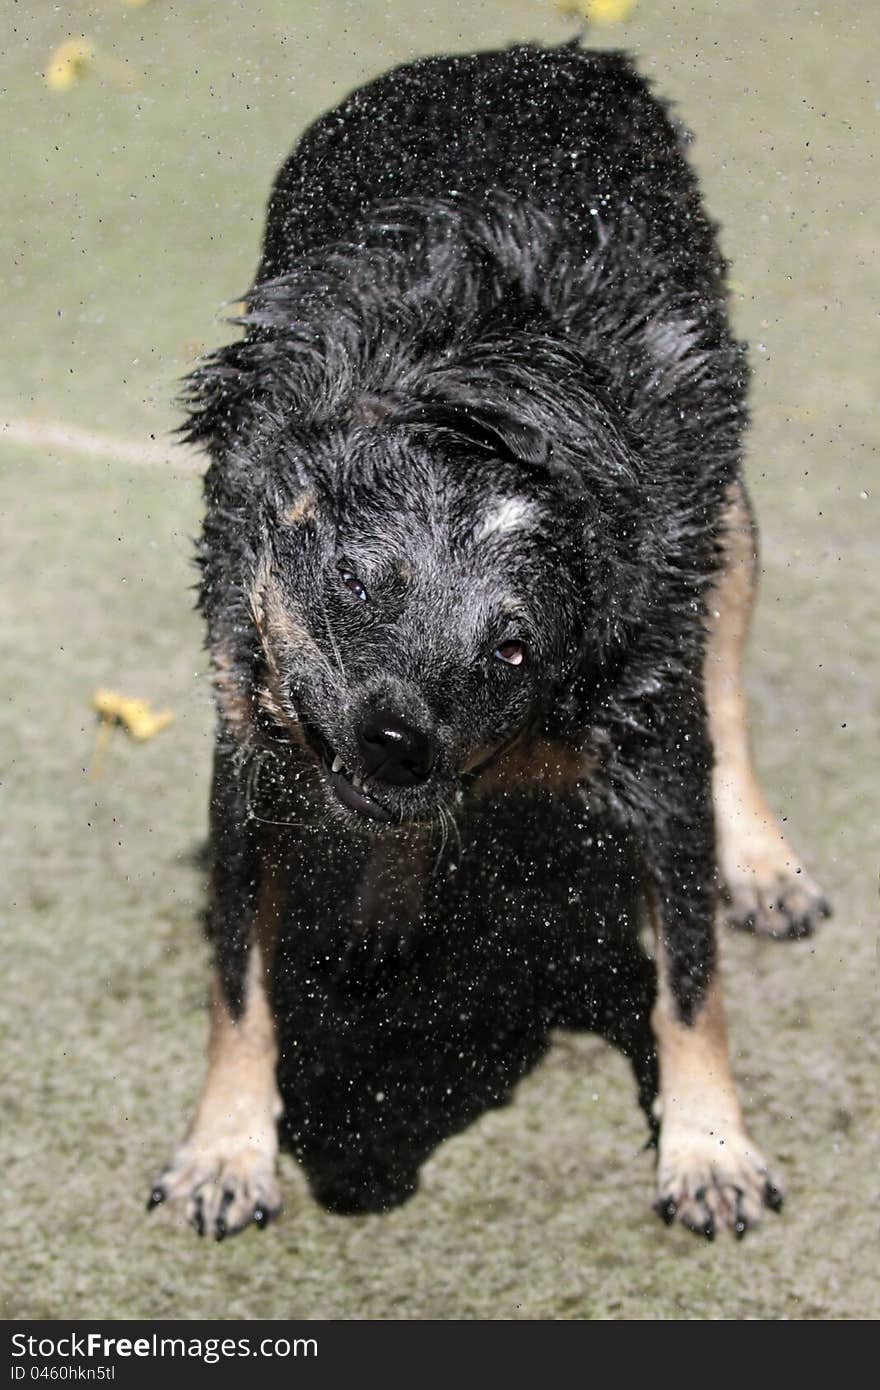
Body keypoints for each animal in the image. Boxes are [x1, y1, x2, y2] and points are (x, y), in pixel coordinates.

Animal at [147, 40, 828, 1239]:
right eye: (356, 580)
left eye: (512, 646)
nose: (396, 738)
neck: (492, 410)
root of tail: (544, 52)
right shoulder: (251, 757)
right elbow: (238, 987)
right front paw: (223, 1152)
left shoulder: (659, 755)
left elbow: (690, 984)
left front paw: (710, 1152)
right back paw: (386, 905)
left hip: (731, 531)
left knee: (732, 697)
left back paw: (764, 862)